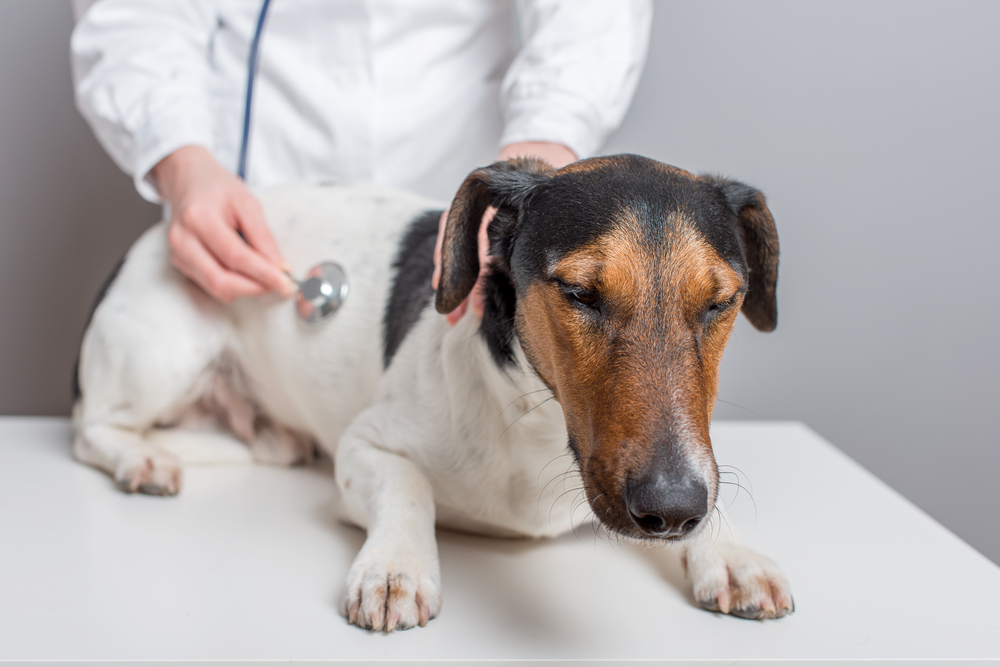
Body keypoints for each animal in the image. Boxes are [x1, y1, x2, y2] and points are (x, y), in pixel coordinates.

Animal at [70, 155, 792, 632]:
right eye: (580, 293)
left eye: (721, 301)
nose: (672, 509)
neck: (535, 423)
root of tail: (155, 236)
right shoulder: (365, 446)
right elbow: (408, 486)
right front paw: (395, 566)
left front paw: (729, 552)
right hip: (162, 352)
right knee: (88, 427)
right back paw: (141, 458)